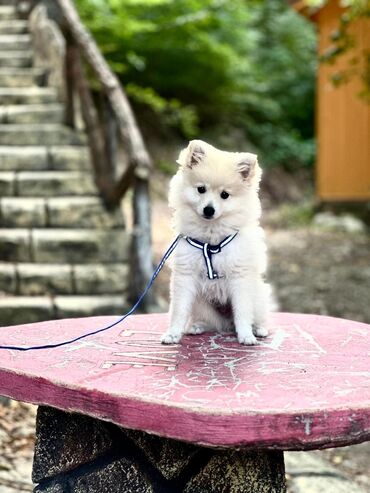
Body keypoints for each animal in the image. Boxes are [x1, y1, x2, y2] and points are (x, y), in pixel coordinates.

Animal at [161, 139, 272, 346]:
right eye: (201, 189)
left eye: (225, 195)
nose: (209, 209)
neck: (211, 239)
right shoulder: (185, 275)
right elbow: (179, 310)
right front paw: (173, 334)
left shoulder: (240, 277)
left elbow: (242, 312)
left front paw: (246, 335)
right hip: (200, 303)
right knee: (210, 321)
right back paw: (197, 326)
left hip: (259, 295)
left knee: (257, 316)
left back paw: (259, 329)